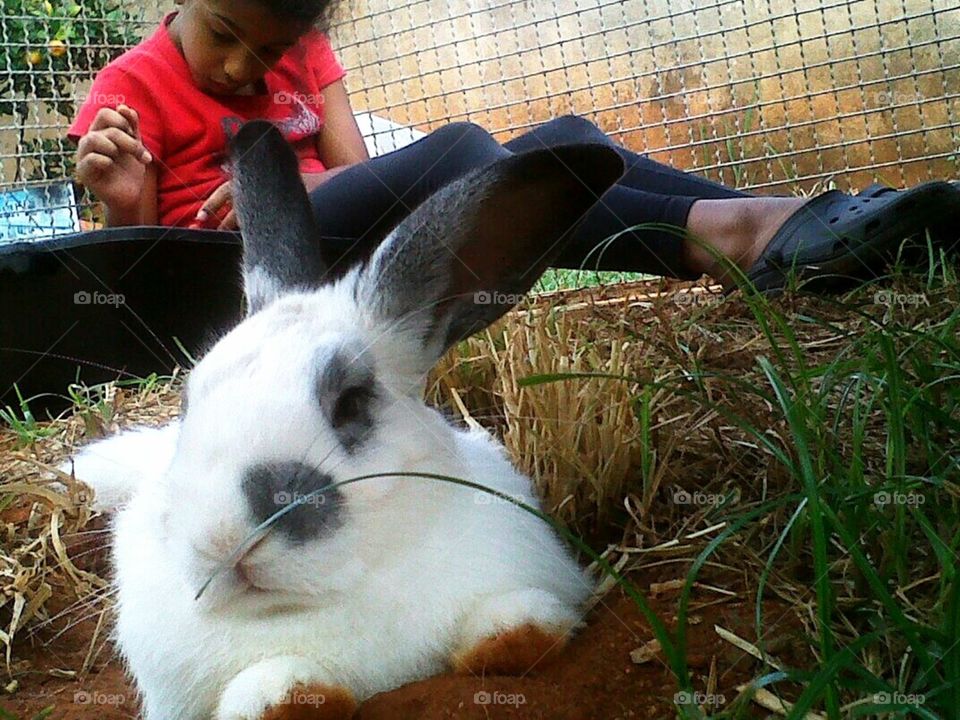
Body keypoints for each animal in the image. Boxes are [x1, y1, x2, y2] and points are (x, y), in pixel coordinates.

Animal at [63, 119, 624, 720]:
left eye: (351, 403)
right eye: (189, 404)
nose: (224, 541)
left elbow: (516, 621)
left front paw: (517, 634)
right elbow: (274, 688)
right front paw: (289, 697)